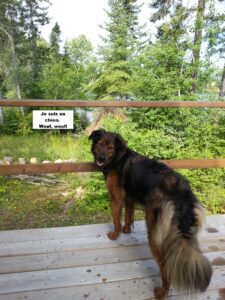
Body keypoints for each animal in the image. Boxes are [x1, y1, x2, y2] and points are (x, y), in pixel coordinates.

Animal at [89, 129, 212, 300]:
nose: (101, 158)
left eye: (110, 147)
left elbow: (116, 219)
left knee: (165, 264)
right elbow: (128, 216)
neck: (118, 158)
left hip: (154, 231)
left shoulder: (116, 197)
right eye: (99, 144)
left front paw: (115, 234)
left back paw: (162, 292)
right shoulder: (129, 198)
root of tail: (181, 191)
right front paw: (127, 230)